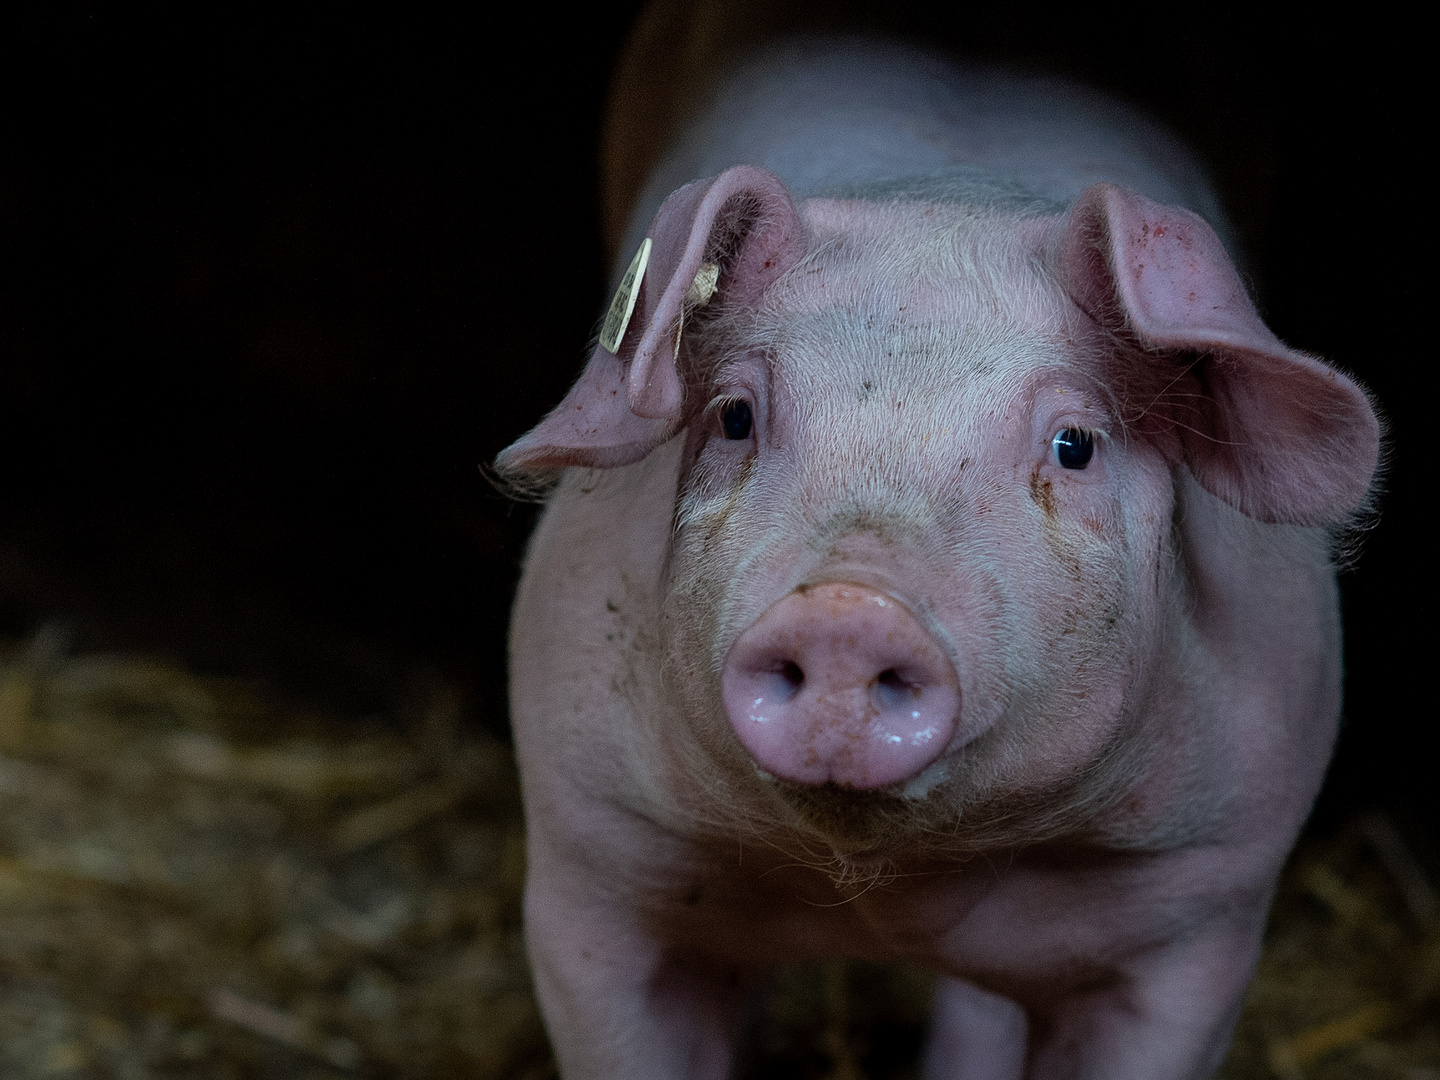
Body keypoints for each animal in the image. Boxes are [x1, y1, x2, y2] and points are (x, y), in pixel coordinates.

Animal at [498, 33, 1382, 1080]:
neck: (893, 892)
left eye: (1075, 444)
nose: (847, 610)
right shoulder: (586, 865)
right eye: (735, 417)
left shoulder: (1208, 903)